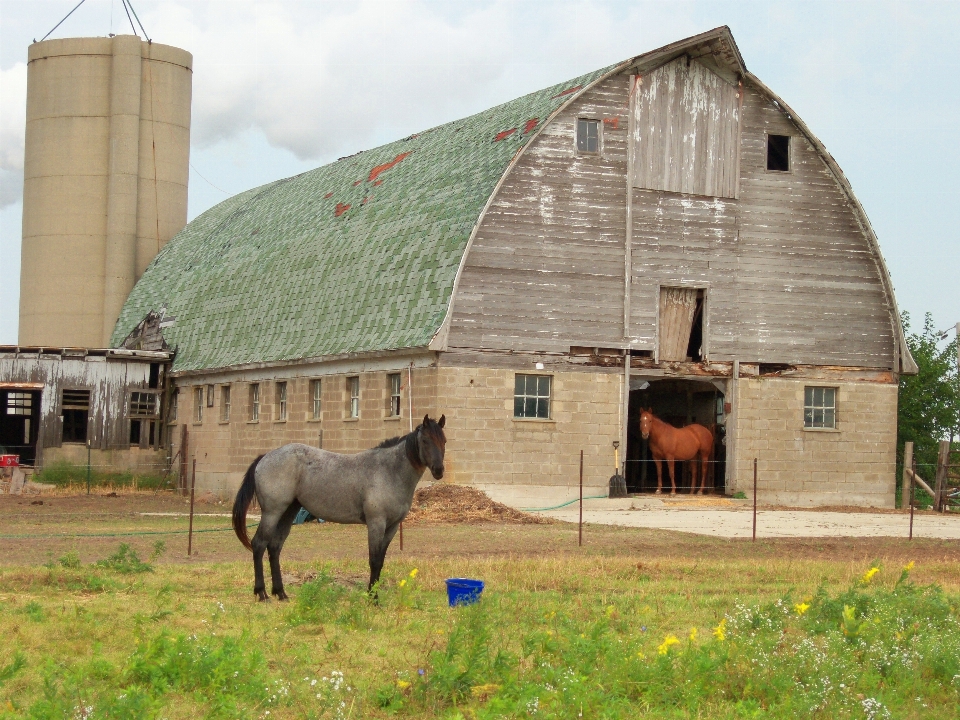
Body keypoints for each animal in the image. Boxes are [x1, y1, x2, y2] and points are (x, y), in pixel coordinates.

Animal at [232, 414, 446, 600]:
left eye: (443, 441)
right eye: (425, 441)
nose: (439, 470)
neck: (388, 471)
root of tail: (265, 457)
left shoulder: (392, 527)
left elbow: (381, 561)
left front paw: (373, 595)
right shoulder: (376, 524)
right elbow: (374, 560)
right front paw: (372, 598)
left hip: (288, 512)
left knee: (275, 547)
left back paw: (281, 593)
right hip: (272, 513)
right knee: (259, 544)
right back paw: (262, 593)